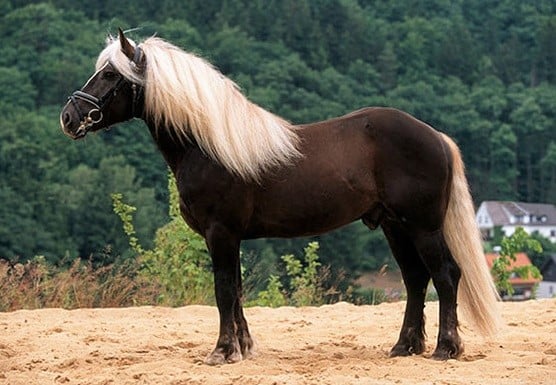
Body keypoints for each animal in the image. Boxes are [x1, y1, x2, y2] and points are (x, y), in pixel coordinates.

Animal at [59, 29, 500, 364]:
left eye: (110, 75)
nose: (69, 117)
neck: (208, 146)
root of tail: (435, 136)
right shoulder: (229, 237)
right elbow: (236, 290)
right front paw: (243, 347)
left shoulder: (221, 233)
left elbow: (223, 290)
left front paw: (222, 352)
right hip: (395, 228)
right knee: (415, 280)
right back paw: (405, 347)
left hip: (422, 227)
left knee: (446, 276)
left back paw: (445, 349)